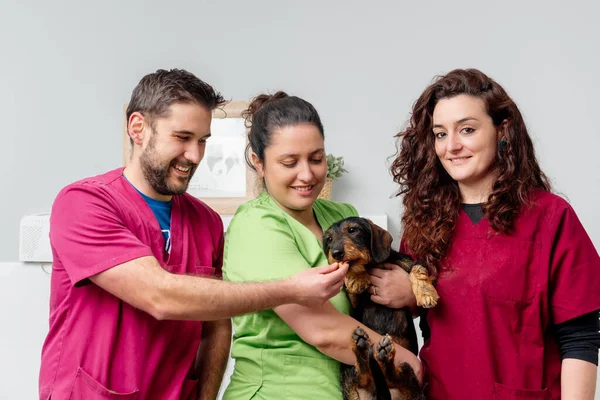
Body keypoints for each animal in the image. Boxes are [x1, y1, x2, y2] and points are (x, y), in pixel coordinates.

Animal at [322, 219, 438, 400]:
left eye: (353, 230)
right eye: (329, 239)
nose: (336, 253)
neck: (372, 265)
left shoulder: (410, 263)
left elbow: (418, 268)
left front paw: (426, 293)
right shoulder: (355, 304)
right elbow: (350, 277)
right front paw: (356, 278)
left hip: (410, 381)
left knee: (395, 375)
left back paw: (381, 354)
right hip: (351, 377)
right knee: (363, 373)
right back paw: (363, 348)